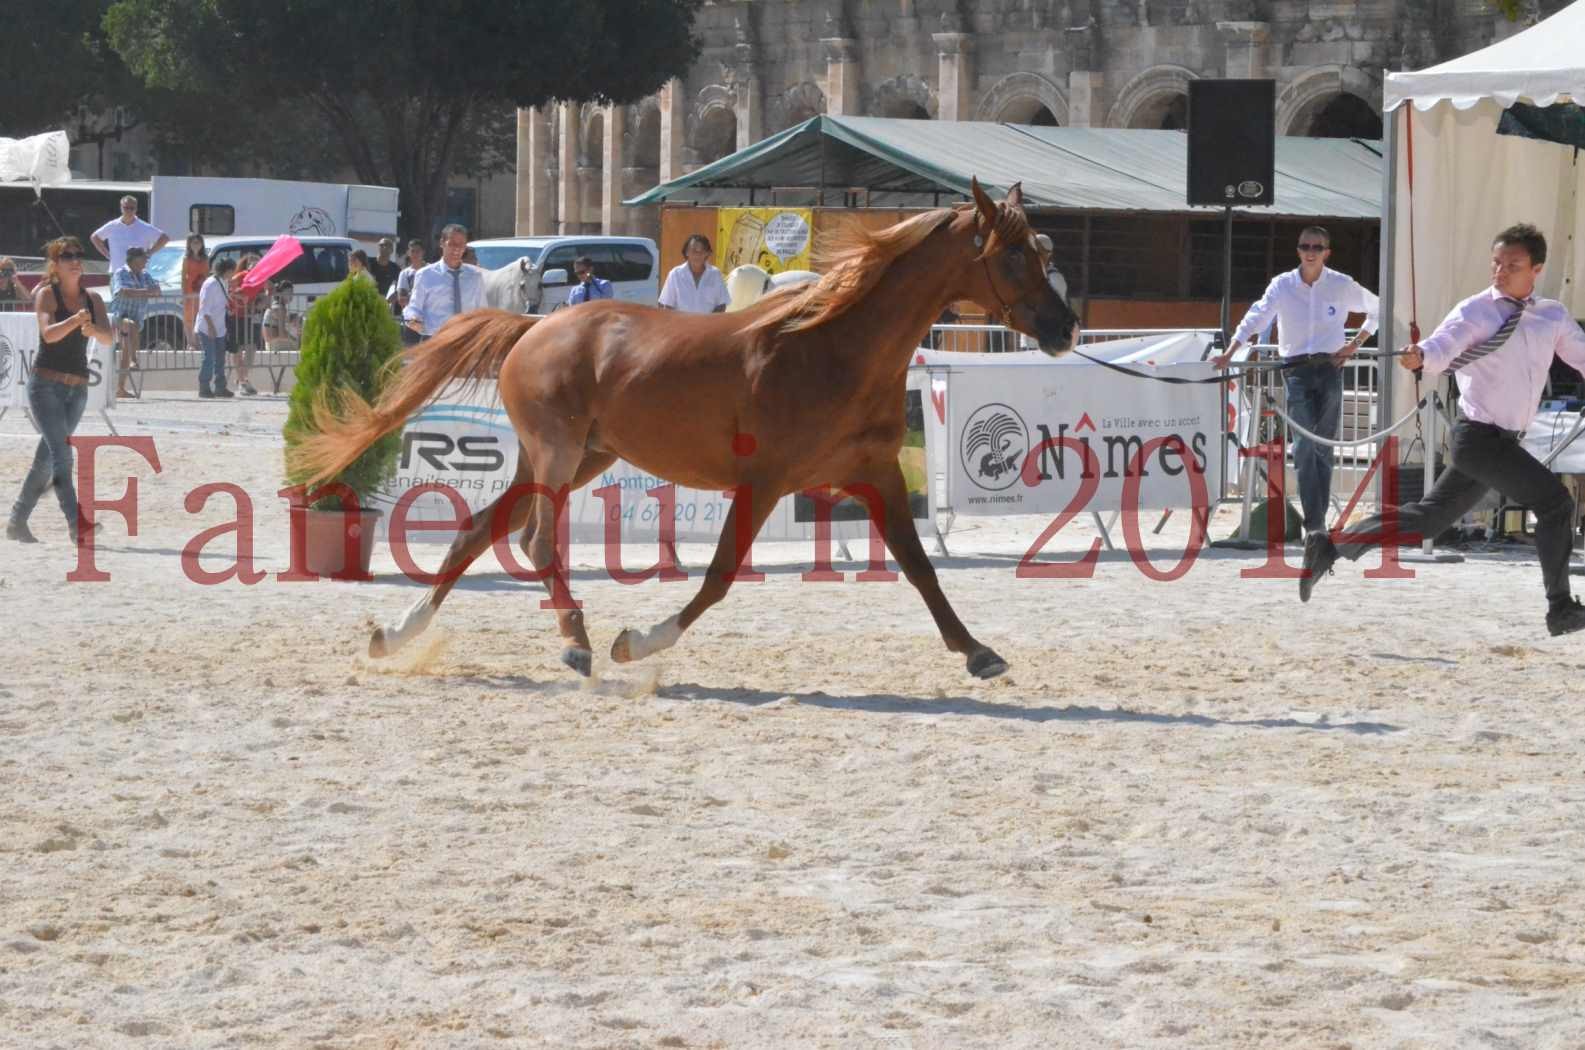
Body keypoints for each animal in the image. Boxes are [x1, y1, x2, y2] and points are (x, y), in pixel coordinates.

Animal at [291, 180, 1077, 682]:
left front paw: (977, 652)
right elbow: (721, 575)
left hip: (571, 457)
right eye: (1013, 255)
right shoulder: (765, 482)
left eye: (1044, 251)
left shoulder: (878, 473)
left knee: (477, 530)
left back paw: (397, 635)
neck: (833, 347)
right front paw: (637, 642)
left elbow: (920, 568)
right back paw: (577, 641)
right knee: (534, 539)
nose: (1065, 328)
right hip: (558, 454)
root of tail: (534, 324)